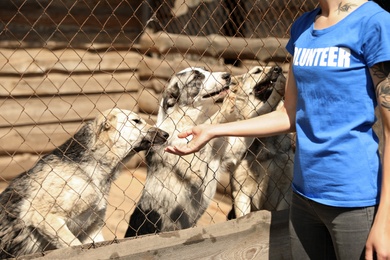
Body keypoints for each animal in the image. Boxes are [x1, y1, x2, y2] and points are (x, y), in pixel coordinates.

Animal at [0, 107, 168, 258]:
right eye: (136, 121)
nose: (167, 134)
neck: (95, 164)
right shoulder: (41, 215)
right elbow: (75, 245)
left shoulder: (92, 231)